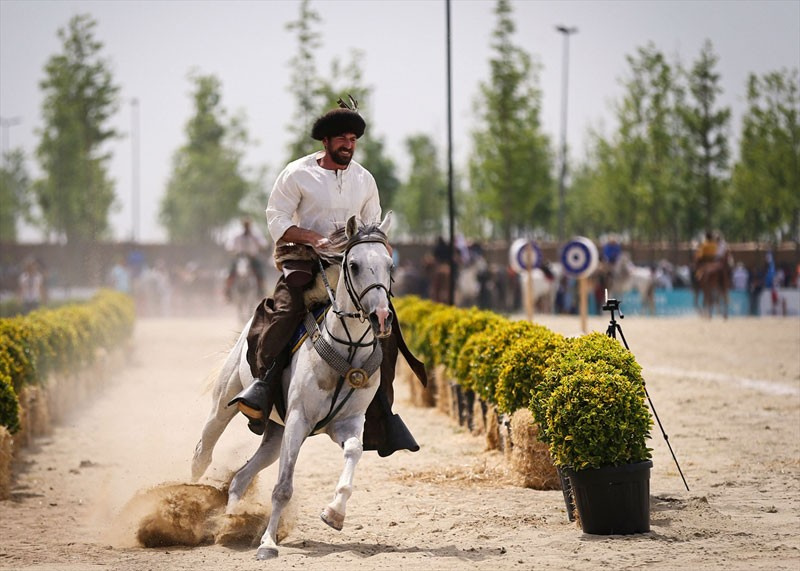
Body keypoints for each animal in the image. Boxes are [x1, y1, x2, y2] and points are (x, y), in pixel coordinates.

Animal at [191, 212, 396, 560]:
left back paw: (230, 523)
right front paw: (267, 544)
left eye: (389, 264)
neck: (347, 348)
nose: (381, 317)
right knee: (203, 451)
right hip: (225, 404)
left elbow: (353, 452)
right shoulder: (299, 421)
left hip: (275, 435)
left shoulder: (347, 423)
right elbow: (283, 488)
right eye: (354, 265)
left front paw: (334, 513)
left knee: (240, 478)